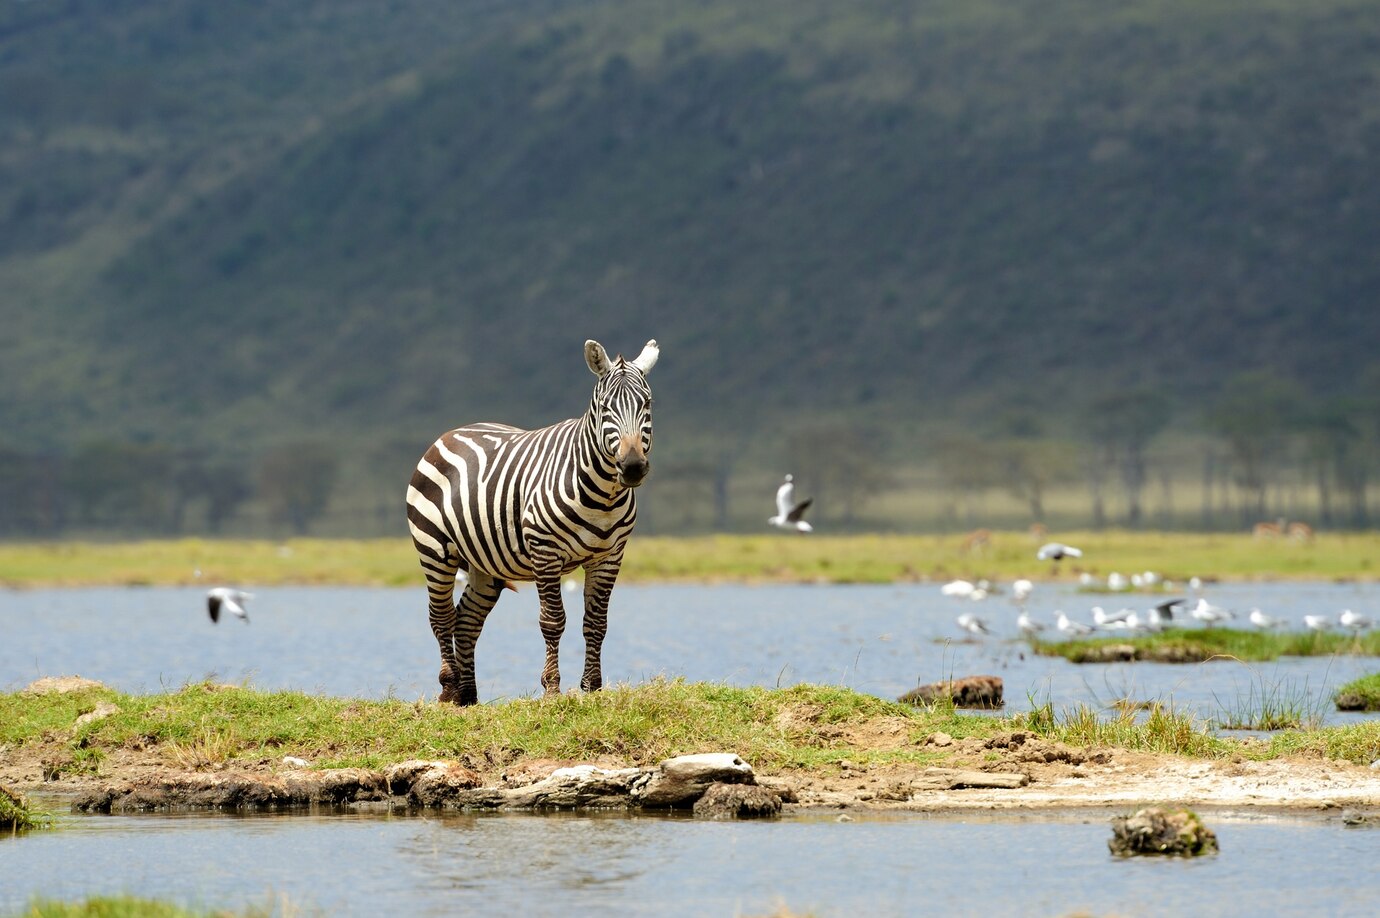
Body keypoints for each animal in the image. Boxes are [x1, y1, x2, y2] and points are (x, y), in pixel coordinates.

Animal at [405, 339, 659, 704]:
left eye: (647, 403)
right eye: (604, 407)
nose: (633, 466)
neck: (603, 496)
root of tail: (451, 433)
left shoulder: (609, 556)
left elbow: (596, 622)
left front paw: (592, 688)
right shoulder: (545, 551)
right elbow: (553, 621)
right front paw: (552, 688)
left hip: (485, 564)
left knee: (466, 620)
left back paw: (468, 696)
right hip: (435, 549)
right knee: (441, 616)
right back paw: (449, 687)